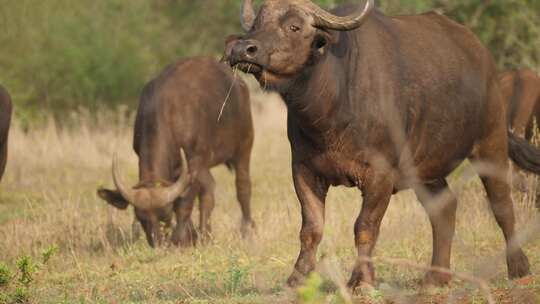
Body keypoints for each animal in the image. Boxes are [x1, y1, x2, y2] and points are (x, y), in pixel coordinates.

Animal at [97, 57, 255, 247]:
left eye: (165, 216)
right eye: (141, 218)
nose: (158, 244)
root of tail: (239, 83)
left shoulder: (195, 162)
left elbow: (184, 202)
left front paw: (181, 239)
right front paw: (190, 237)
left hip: (244, 146)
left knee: (242, 187)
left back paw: (247, 231)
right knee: (208, 190)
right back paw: (205, 235)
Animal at [224, 0, 536, 290]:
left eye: (294, 26)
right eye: (256, 24)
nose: (241, 49)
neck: (332, 107)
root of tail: (484, 60)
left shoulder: (380, 175)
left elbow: (365, 226)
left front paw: (361, 279)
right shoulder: (303, 169)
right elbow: (311, 228)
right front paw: (297, 278)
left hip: (490, 143)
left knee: (501, 204)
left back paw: (518, 267)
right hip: (425, 169)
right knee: (444, 209)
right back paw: (436, 276)